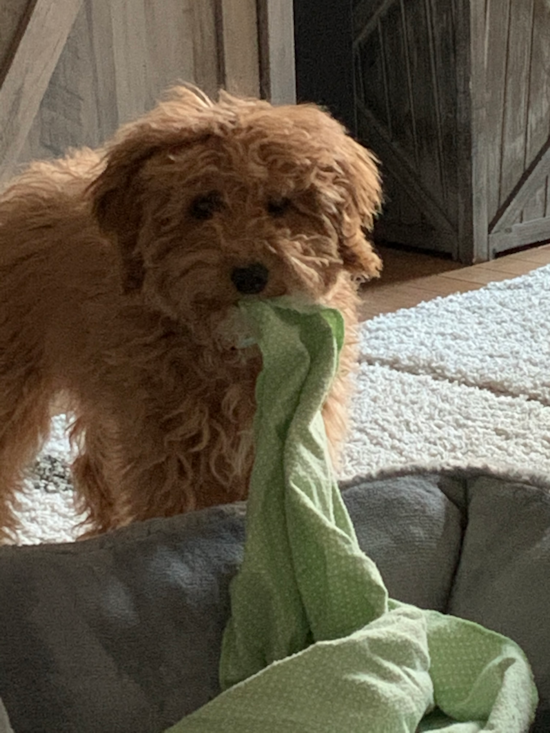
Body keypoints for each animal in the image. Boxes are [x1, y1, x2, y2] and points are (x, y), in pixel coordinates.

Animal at [0, 87, 384, 544]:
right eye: (202, 205)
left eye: (280, 204)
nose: (250, 275)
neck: (230, 346)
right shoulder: (165, 449)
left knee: (93, 467)